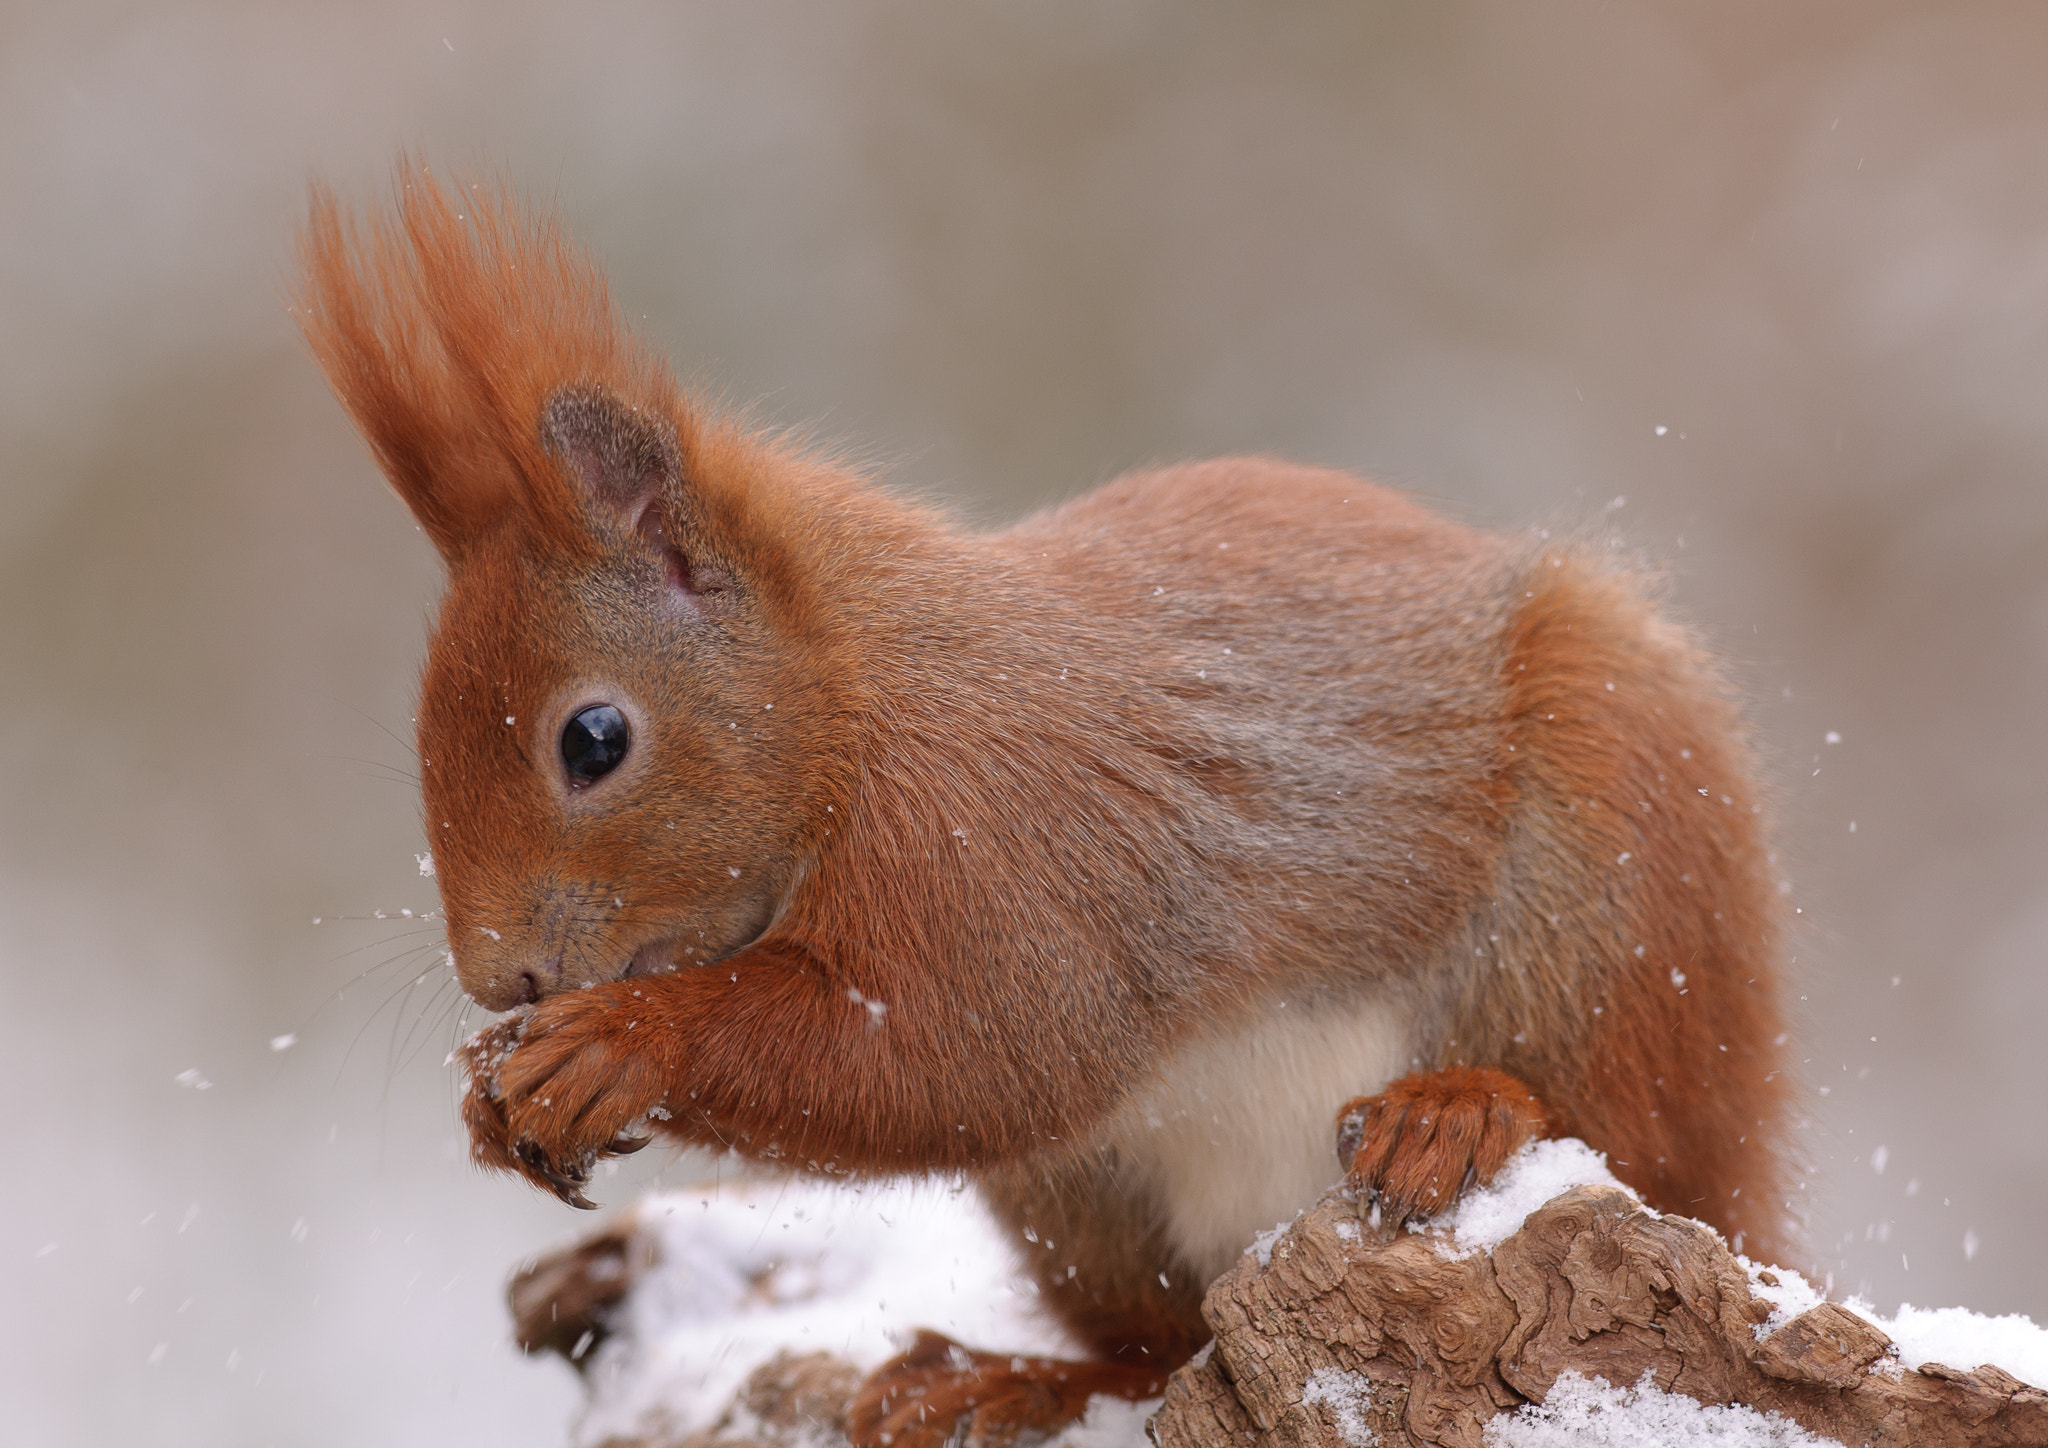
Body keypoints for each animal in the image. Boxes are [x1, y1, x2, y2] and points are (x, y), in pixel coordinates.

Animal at [297, 164, 1793, 1447]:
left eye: (593, 739)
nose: (502, 978)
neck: (857, 694)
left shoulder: (1004, 835)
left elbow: (972, 1048)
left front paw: (616, 1040)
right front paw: (489, 1095)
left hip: (1606, 886)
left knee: (1633, 1129)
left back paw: (1462, 1111)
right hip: (1088, 1198)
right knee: (1159, 1341)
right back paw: (1008, 1380)